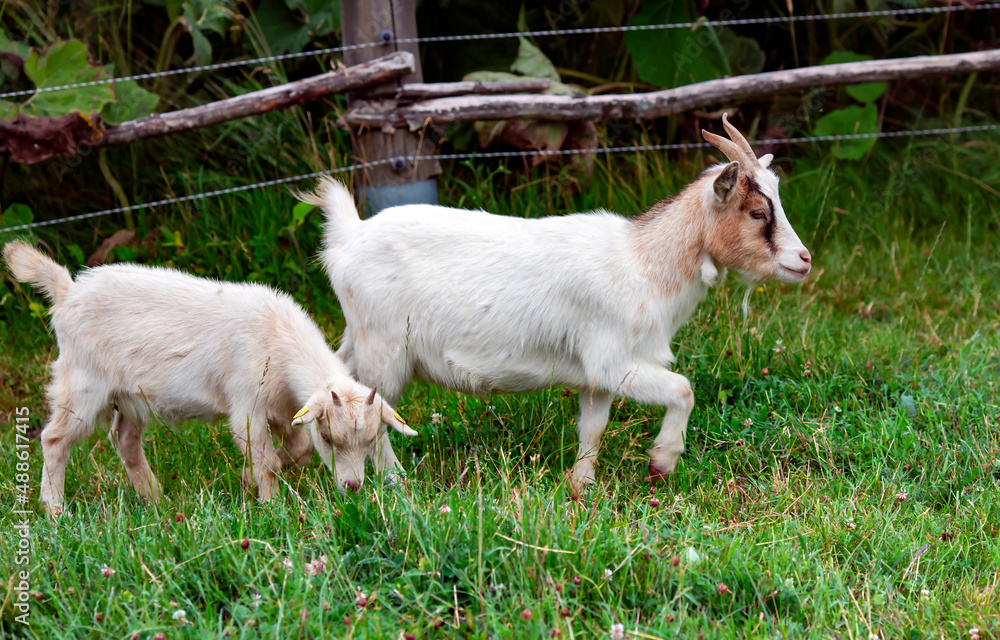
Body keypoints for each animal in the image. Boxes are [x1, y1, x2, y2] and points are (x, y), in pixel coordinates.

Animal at [3, 243, 416, 514]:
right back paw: (54, 510)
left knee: (125, 442)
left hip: (132, 398)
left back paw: (155, 500)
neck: (277, 338)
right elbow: (268, 461)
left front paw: (251, 478)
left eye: (372, 440)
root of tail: (66, 290)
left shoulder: (285, 410)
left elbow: (297, 450)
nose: (353, 487)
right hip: (83, 384)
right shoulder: (247, 407)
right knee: (55, 439)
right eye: (330, 437)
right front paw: (270, 505)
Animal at [308, 115, 811, 484]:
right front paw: (662, 462)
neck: (643, 262)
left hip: (359, 338)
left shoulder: (597, 377)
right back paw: (394, 480)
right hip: (385, 351)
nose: (803, 260)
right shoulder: (613, 360)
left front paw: (580, 488)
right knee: (372, 412)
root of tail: (347, 236)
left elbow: (593, 428)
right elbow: (683, 389)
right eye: (758, 212)